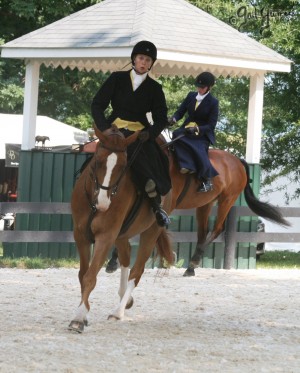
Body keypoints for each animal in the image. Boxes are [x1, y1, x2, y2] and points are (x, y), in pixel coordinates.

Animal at [68, 125, 173, 332]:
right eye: (98, 161)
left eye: (123, 166)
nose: (103, 204)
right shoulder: (81, 235)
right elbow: (82, 274)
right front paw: (83, 313)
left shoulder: (106, 236)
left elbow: (90, 276)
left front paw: (78, 317)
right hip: (122, 235)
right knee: (125, 257)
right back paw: (125, 298)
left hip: (151, 231)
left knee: (136, 271)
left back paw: (118, 312)